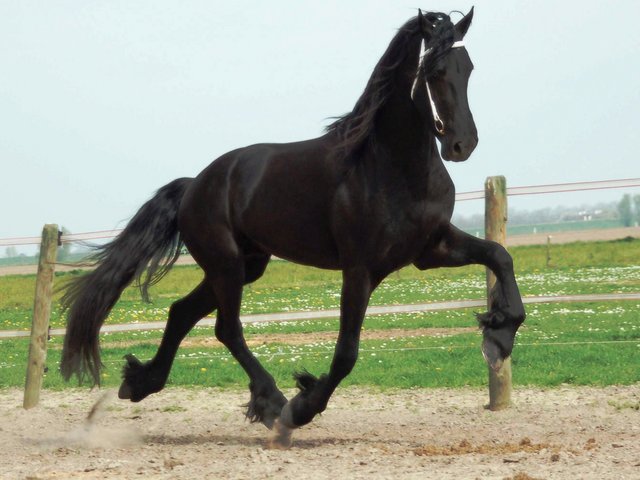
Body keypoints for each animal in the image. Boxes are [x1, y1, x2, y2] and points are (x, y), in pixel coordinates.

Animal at [60, 8, 525, 447]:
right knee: (226, 328)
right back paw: (272, 404)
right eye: (433, 70)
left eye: (468, 68)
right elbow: (346, 353)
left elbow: (500, 256)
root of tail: (196, 184)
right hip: (227, 265)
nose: (462, 144)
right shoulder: (360, 269)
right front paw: (301, 407)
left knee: (182, 312)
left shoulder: (430, 249)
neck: (391, 165)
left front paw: (498, 336)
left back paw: (141, 383)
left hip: (246, 265)